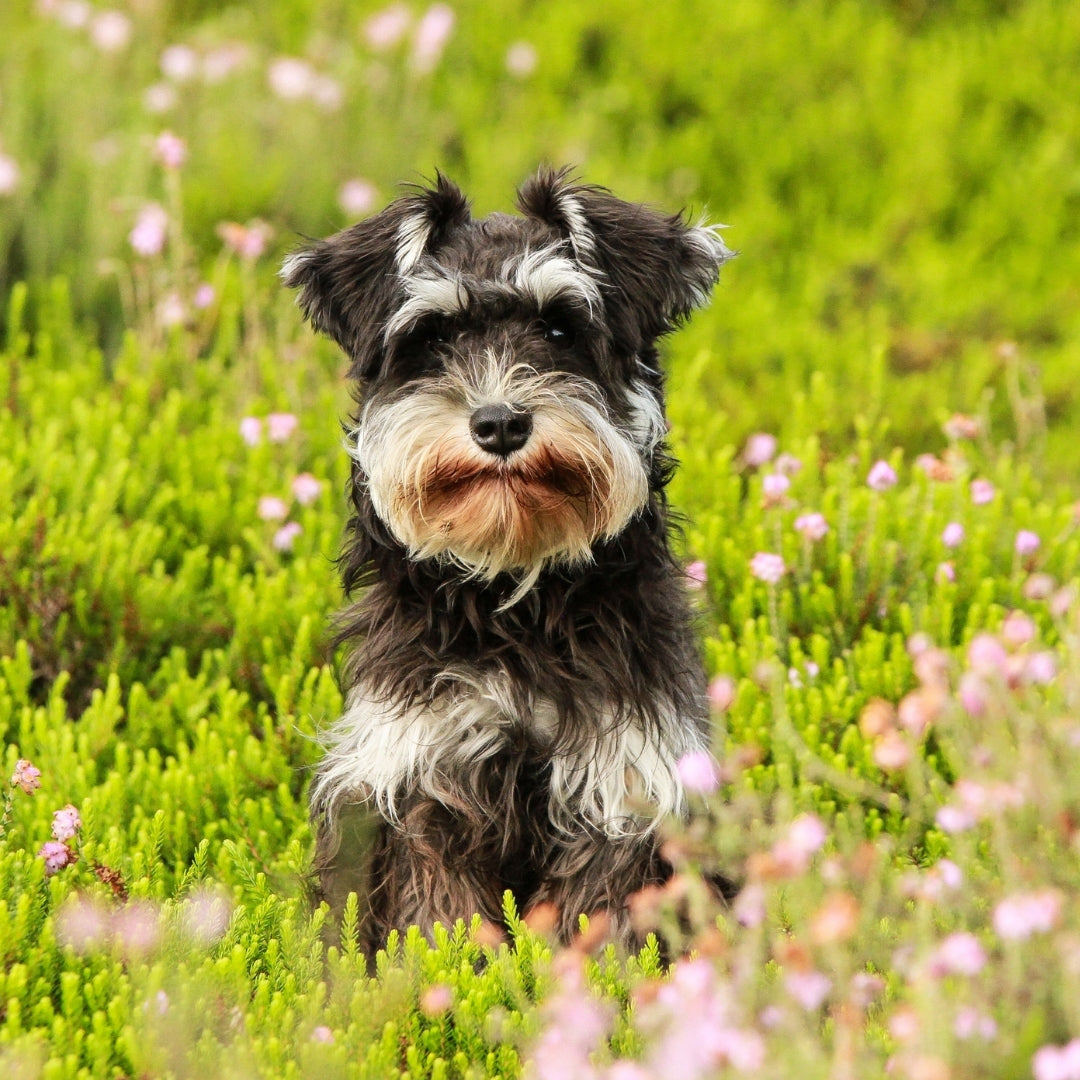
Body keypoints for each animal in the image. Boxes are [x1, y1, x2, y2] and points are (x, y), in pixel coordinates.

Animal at [282, 166, 734, 954]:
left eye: (560, 327)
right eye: (431, 336)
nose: (499, 423)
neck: (516, 596)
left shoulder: (620, 785)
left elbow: (597, 923)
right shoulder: (422, 780)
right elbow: (439, 921)